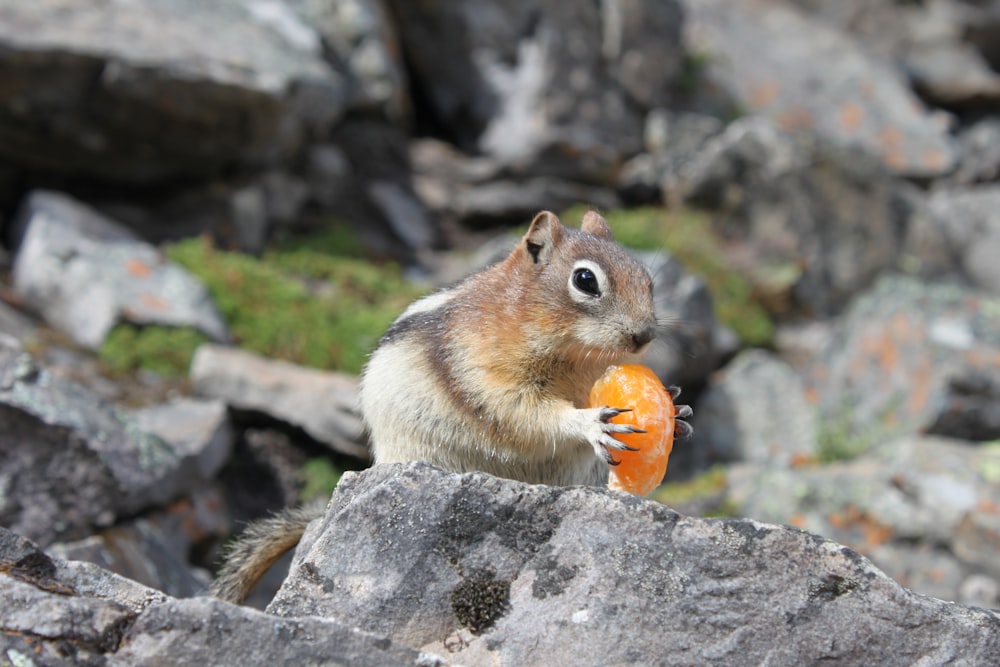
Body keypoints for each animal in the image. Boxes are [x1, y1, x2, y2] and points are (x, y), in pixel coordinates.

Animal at [209, 210, 696, 604]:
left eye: (647, 280)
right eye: (585, 281)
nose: (644, 335)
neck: (573, 356)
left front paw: (676, 408)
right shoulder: (484, 369)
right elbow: (523, 412)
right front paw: (589, 422)